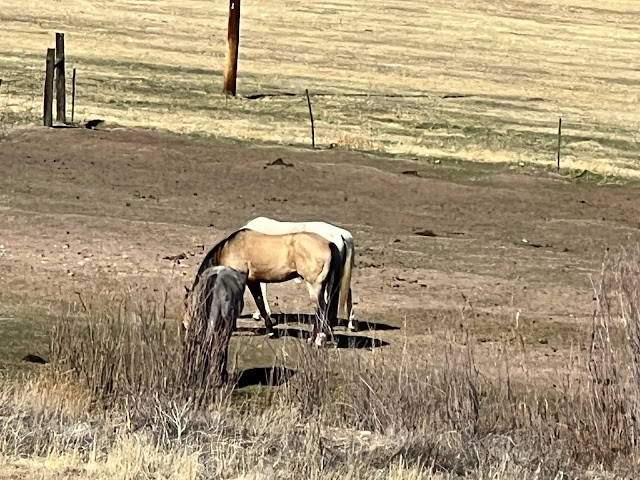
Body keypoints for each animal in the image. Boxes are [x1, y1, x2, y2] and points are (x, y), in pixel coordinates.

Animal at [185, 228, 343, 340]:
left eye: (187, 304)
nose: (186, 325)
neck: (230, 248)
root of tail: (329, 243)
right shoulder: (252, 281)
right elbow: (260, 303)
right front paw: (270, 331)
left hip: (314, 286)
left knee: (321, 308)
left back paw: (315, 339)